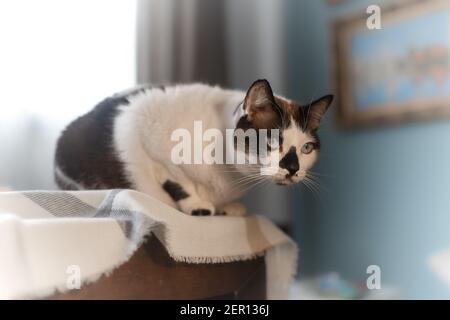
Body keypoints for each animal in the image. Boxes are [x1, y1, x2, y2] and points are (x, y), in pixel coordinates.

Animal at [54, 79, 332, 216]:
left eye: (307, 148)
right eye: (273, 141)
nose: (293, 168)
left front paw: (229, 208)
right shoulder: (146, 135)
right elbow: (177, 182)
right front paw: (198, 206)